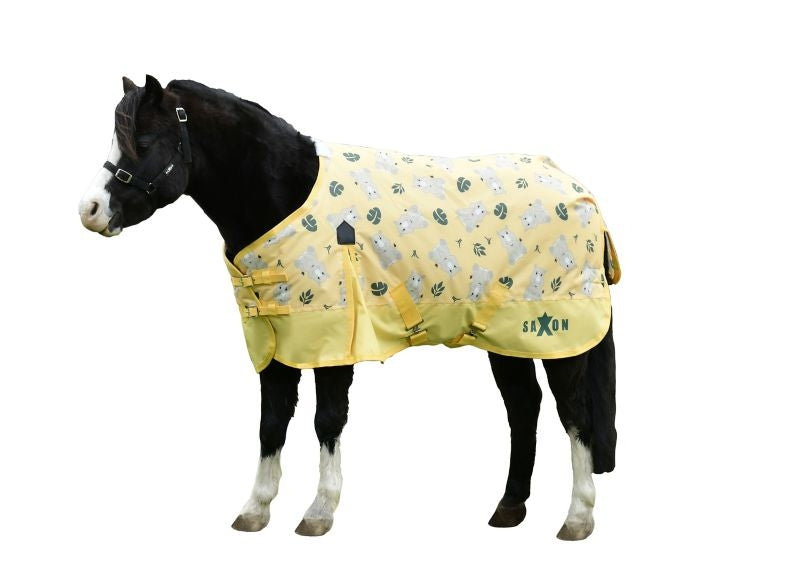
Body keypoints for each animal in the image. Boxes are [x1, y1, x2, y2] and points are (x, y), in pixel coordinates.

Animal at [78, 75, 617, 540]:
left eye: (145, 140)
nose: (90, 211)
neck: (286, 196)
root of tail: (576, 188)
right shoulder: (276, 342)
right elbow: (270, 423)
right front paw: (255, 510)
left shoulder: (335, 341)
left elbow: (327, 421)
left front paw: (318, 512)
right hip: (506, 337)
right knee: (524, 408)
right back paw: (509, 509)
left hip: (560, 337)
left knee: (575, 415)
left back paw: (577, 518)